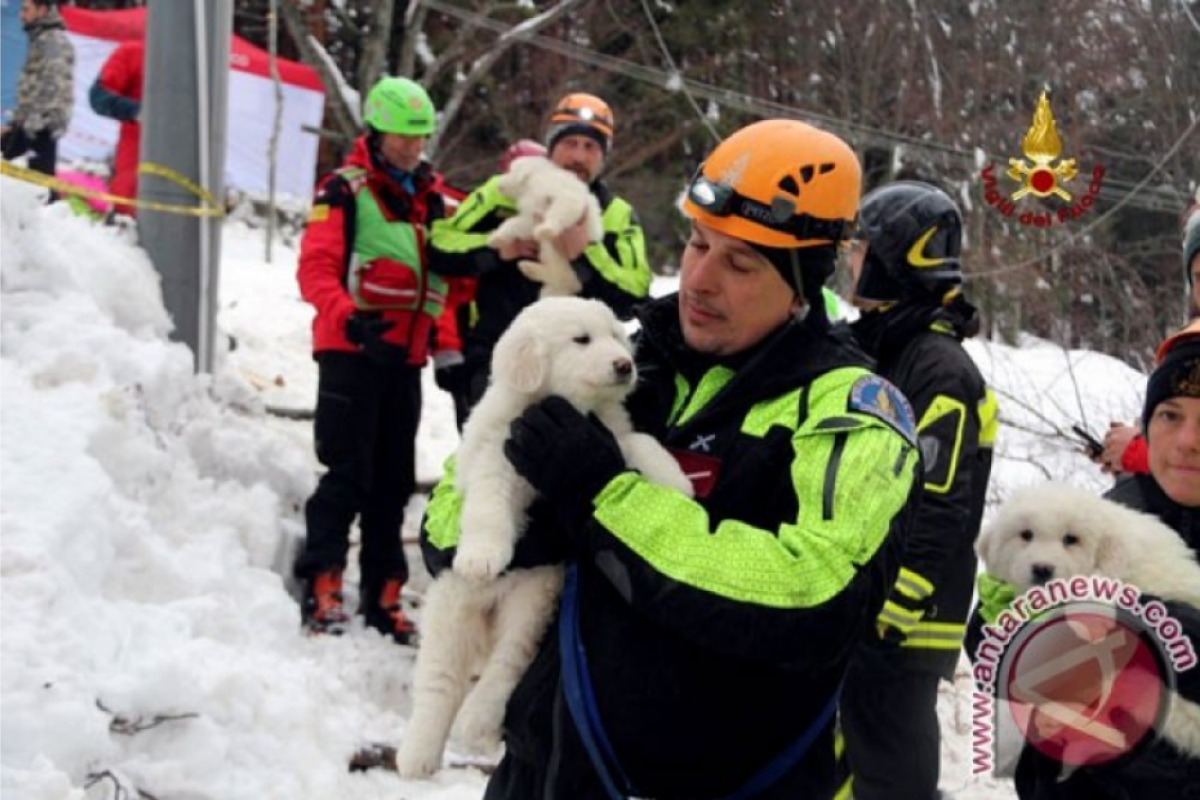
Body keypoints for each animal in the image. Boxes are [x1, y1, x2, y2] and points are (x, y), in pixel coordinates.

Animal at [396, 297, 696, 777]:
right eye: (581, 339)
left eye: (616, 335)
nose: (625, 364)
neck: (568, 407)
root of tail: (488, 613)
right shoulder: (497, 456)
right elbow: (487, 504)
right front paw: (481, 557)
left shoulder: (608, 435)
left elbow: (641, 443)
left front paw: (676, 480)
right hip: (451, 612)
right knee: (438, 683)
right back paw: (417, 755)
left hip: (534, 600)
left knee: (505, 665)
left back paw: (478, 724)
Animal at [487, 154, 604, 298]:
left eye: (510, 171)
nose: (497, 184)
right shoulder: (532, 218)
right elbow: (513, 223)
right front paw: (496, 238)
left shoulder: (568, 198)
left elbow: (558, 211)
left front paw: (546, 229)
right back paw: (528, 268)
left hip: (566, 269)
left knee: (560, 276)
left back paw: (529, 267)